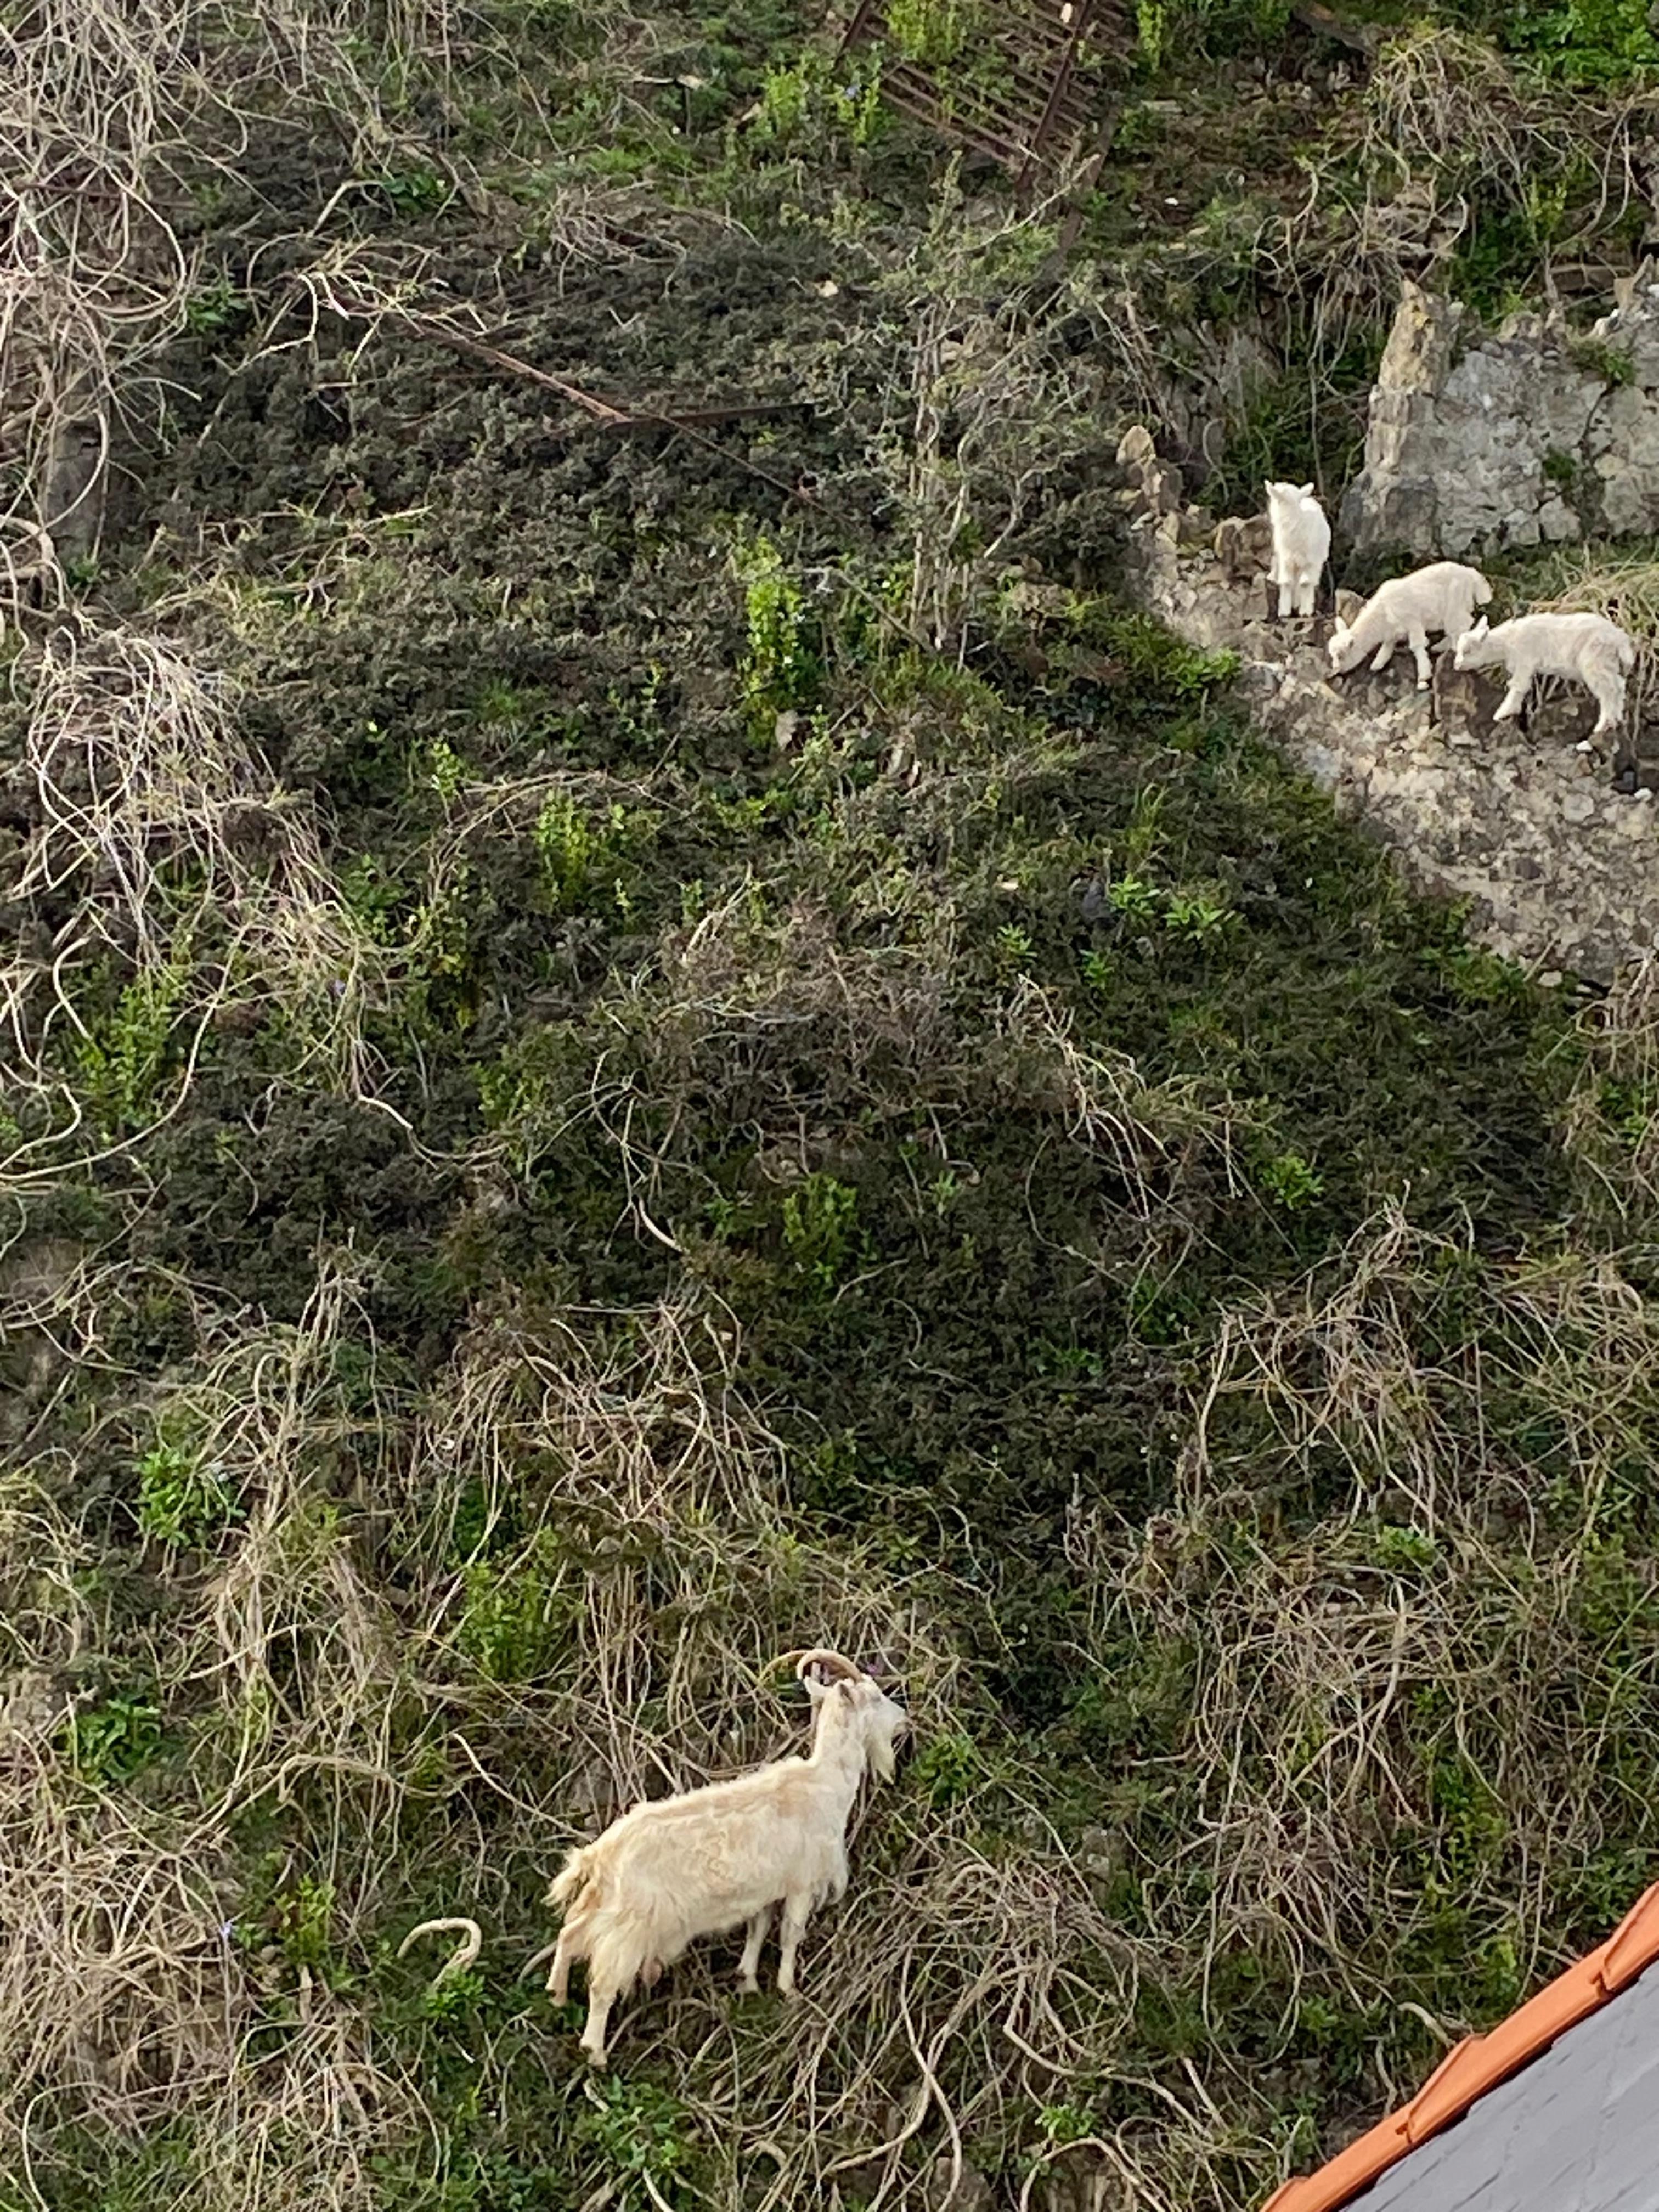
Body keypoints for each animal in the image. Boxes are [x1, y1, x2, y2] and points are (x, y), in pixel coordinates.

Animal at [397, 1649, 908, 2069]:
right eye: (875, 1696)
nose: (904, 1720)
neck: (823, 1783)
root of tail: (602, 1853)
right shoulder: (803, 1881)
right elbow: (790, 1936)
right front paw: (789, 1991)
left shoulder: (765, 1889)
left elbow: (759, 1929)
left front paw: (747, 1980)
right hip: (634, 1922)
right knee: (603, 1982)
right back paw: (595, 2051)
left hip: (607, 1907)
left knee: (569, 1934)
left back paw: (557, 1994)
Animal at [1264, 481, 1330, 619]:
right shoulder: (1286, 560)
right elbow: (1286, 582)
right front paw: (1284, 612)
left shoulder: (1310, 561)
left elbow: (1305, 583)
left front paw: (1305, 612)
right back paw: (1295, 603)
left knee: (1307, 582)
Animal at [1327, 561, 1493, 690]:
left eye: (1341, 656)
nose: (1337, 670)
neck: (1382, 615)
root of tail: (1471, 574)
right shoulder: (1392, 633)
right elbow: (1387, 647)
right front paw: (1377, 664)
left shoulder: (1412, 621)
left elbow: (1417, 646)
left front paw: (1424, 676)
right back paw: (1439, 647)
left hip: (1454, 606)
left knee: (1462, 624)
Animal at [1451, 610, 1637, 738]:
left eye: (1467, 651)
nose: (1457, 665)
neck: (1508, 641)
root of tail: (1620, 638)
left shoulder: (1525, 661)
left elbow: (1518, 687)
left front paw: (1503, 713)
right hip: (1608, 662)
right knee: (1619, 686)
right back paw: (1617, 720)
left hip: (1594, 659)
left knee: (1608, 690)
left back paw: (1603, 726)